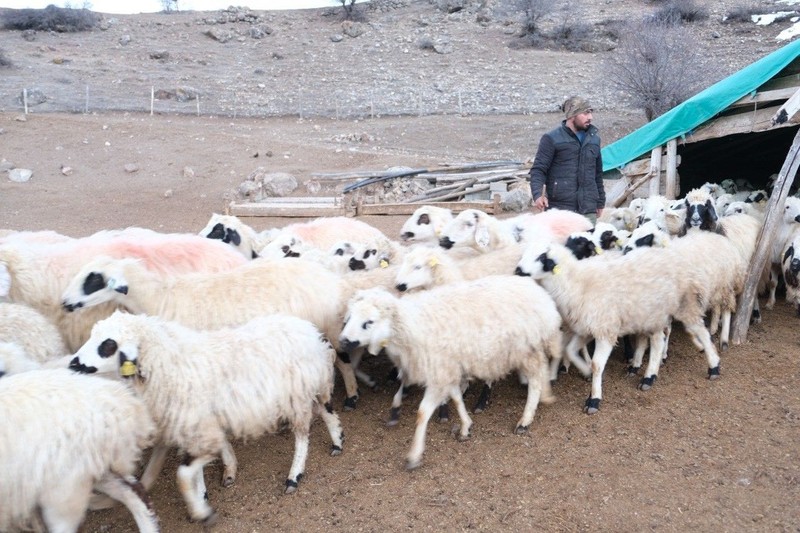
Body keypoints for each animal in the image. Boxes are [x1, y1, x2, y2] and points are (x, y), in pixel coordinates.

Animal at [69, 310, 344, 520]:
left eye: (109, 344)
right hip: (310, 388)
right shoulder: (199, 424)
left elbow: (183, 474)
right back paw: (337, 441)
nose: (73, 363)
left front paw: (200, 510)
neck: (168, 364)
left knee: (303, 435)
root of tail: (312, 332)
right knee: (326, 409)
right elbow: (205, 461)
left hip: (299, 394)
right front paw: (216, 482)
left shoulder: (198, 425)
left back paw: (294, 476)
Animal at [340, 276, 560, 468]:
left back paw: (525, 419)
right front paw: (466, 426)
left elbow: (422, 413)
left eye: (368, 322)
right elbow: (456, 397)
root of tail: (542, 296)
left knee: (535, 381)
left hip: (526, 349)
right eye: (349, 317)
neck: (410, 327)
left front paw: (414, 456)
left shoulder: (439, 372)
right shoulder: (447, 369)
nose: (343, 341)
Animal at [516, 239, 720, 414]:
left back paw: (713, 366)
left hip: (684, 304)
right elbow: (570, 351)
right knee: (657, 341)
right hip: (652, 314)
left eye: (542, 257)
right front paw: (585, 370)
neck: (577, 284)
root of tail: (679, 258)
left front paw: (594, 399)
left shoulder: (605, 330)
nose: (518, 270)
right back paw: (648, 375)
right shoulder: (587, 329)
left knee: (701, 332)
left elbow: (597, 365)